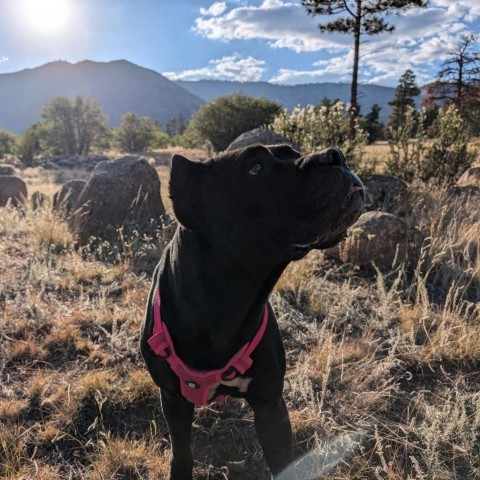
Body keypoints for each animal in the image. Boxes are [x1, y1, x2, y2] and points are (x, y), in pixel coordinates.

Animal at [141, 144, 366, 478]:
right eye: (255, 167)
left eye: (294, 151)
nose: (335, 155)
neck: (226, 305)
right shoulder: (173, 398)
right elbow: (182, 453)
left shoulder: (269, 404)